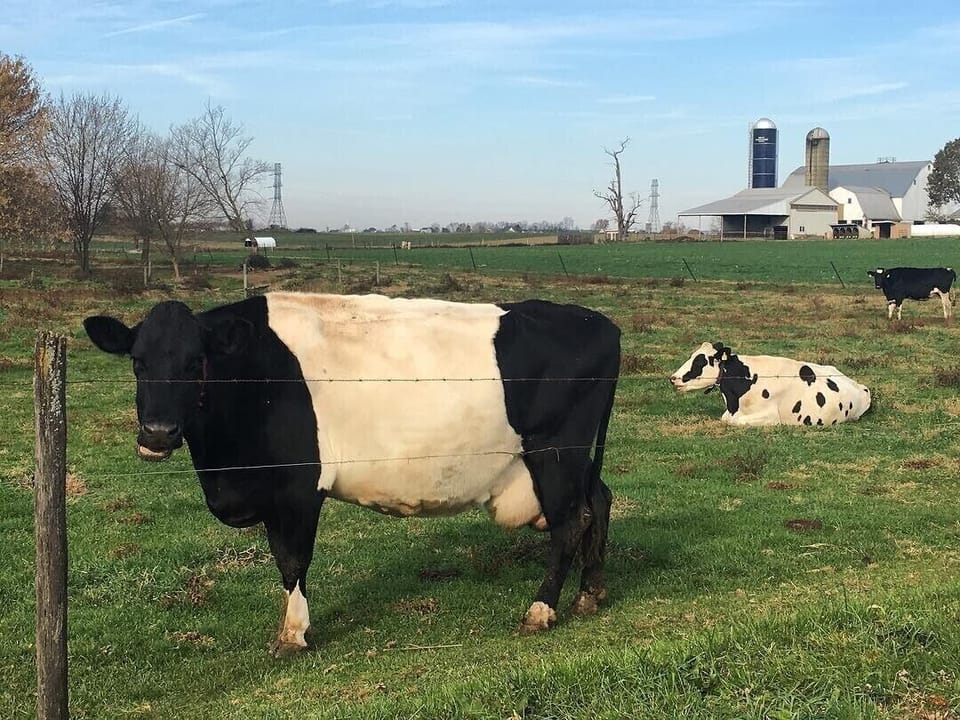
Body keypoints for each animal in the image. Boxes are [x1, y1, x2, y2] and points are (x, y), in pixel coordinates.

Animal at [83, 292, 621, 655]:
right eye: (137, 362)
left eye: (196, 361)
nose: (157, 434)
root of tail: (599, 322)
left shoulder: (297, 487)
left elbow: (292, 560)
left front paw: (294, 634)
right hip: (576, 459)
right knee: (599, 501)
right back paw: (590, 593)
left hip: (556, 452)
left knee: (570, 523)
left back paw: (541, 610)